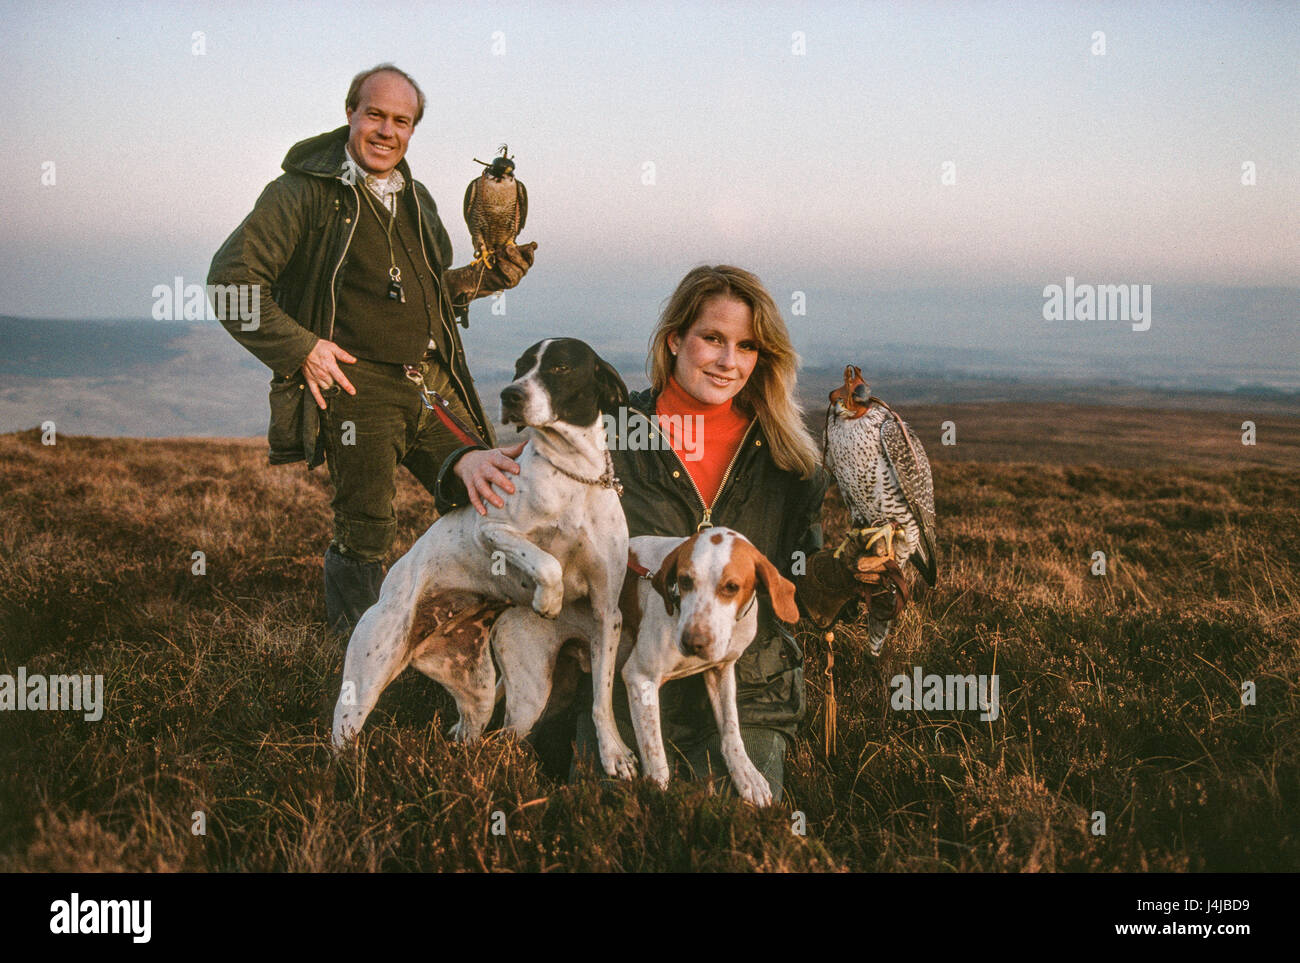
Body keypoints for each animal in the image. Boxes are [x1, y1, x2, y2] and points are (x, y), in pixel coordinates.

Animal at [330, 337, 639, 779]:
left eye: (560, 367)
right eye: (519, 367)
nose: (510, 395)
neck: (572, 475)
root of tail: (420, 637)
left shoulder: (606, 612)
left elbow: (602, 697)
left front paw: (614, 752)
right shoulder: (490, 529)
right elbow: (546, 560)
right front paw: (549, 600)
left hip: (480, 691)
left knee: (478, 737)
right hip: (370, 670)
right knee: (343, 734)